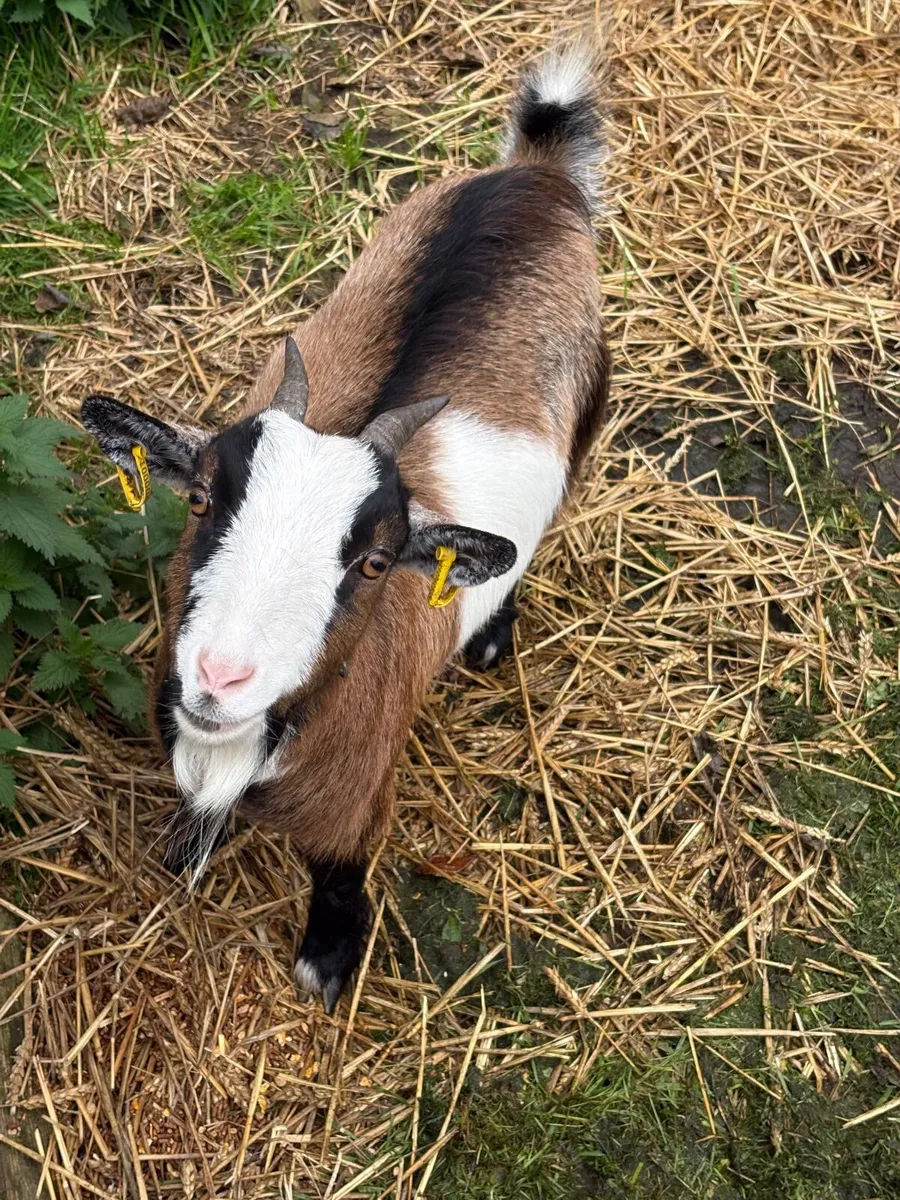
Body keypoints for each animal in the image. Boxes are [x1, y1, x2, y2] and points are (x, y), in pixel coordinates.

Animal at [81, 42, 609, 1012]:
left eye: (373, 562)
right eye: (200, 498)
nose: (219, 677)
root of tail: (536, 175)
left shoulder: (356, 795)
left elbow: (337, 875)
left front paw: (329, 963)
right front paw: (185, 849)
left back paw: (492, 637)